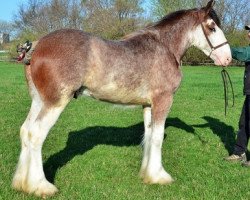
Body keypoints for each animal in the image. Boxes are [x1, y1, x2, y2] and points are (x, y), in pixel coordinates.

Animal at [12, 0, 232, 197]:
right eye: (212, 27)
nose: (228, 58)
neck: (164, 47)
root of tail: (38, 44)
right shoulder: (163, 100)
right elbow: (158, 137)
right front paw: (160, 176)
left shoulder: (148, 105)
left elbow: (149, 135)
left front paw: (147, 174)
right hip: (54, 102)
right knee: (36, 135)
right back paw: (41, 186)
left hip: (38, 101)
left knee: (25, 131)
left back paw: (22, 183)